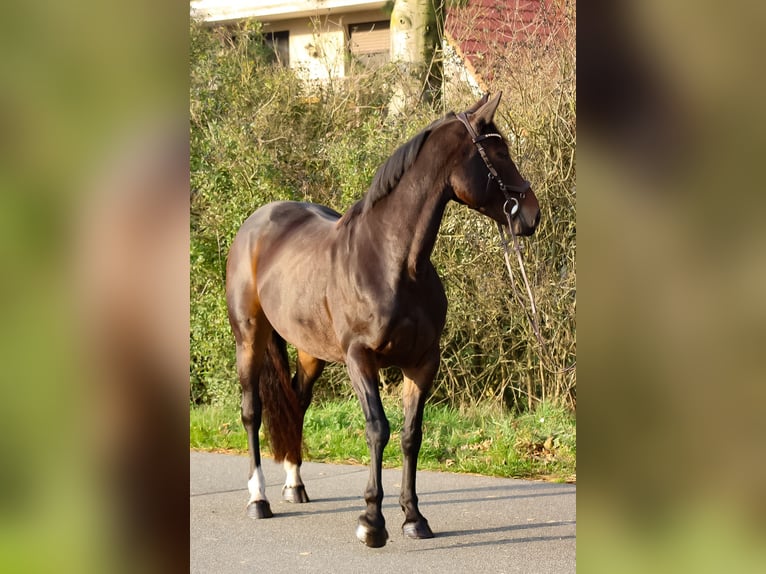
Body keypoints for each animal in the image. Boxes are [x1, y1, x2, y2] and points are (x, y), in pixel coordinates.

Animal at [225, 93, 544, 548]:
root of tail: (257, 222)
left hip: (310, 351)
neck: (393, 262)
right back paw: (258, 499)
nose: (532, 215)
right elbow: (378, 429)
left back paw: (294, 485)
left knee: (297, 404)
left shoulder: (423, 362)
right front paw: (372, 522)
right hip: (249, 338)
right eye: (499, 153)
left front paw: (414, 518)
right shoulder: (360, 358)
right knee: (252, 411)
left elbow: (412, 435)